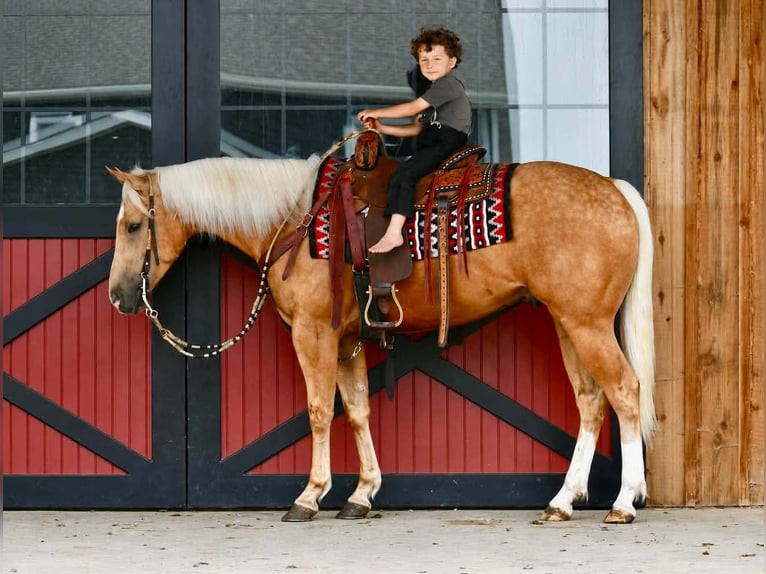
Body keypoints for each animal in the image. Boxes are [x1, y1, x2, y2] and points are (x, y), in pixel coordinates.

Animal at [106, 139, 656, 524]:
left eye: (132, 226)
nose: (117, 297)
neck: (296, 217)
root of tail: (616, 189)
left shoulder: (314, 334)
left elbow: (319, 410)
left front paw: (310, 496)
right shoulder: (346, 341)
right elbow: (356, 410)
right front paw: (362, 493)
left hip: (587, 325)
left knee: (624, 390)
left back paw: (624, 502)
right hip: (568, 322)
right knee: (591, 401)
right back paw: (562, 501)